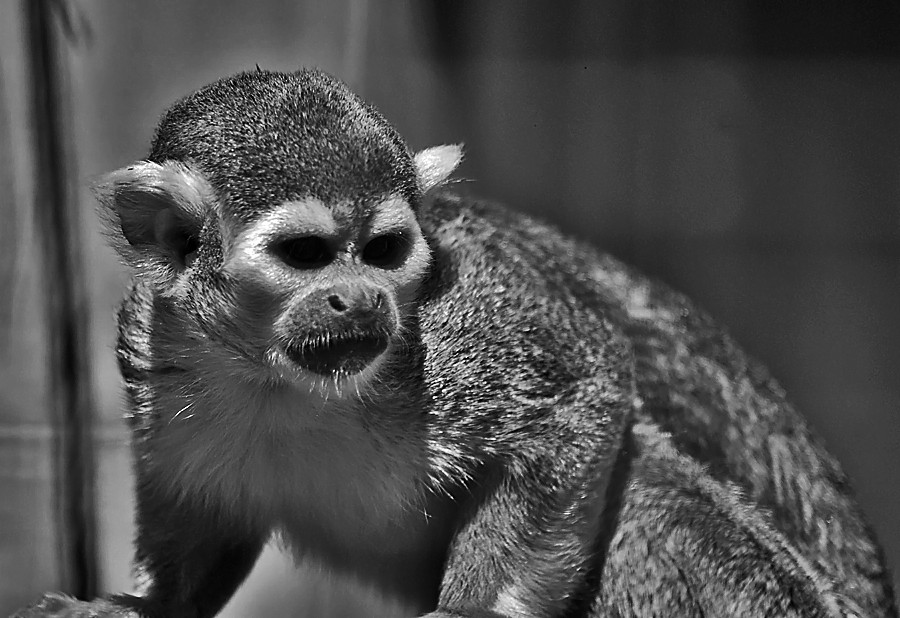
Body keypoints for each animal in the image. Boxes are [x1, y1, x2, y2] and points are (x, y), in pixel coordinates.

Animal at [14, 68, 897, 618]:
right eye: (305, 254)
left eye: (384, 252)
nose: (360, 297)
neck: (289, 381)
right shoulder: (154, 340)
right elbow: (201, 494)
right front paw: (142, 604)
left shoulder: (454, 323)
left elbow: (584, 384)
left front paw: (474, 613)